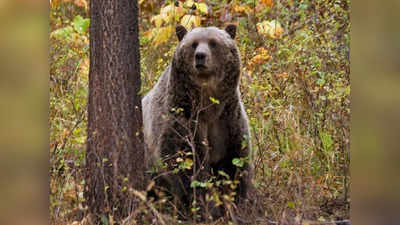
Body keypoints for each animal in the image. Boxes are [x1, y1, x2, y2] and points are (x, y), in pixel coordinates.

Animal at [142, 24, 252, 218]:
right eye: (193, 44)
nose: (200, 56)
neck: (208, 105)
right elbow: (188, 165)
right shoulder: (182, 118)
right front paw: (206, 207)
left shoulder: (228, 121)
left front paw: (234, 204)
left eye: (213, 42)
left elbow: (234, 162)